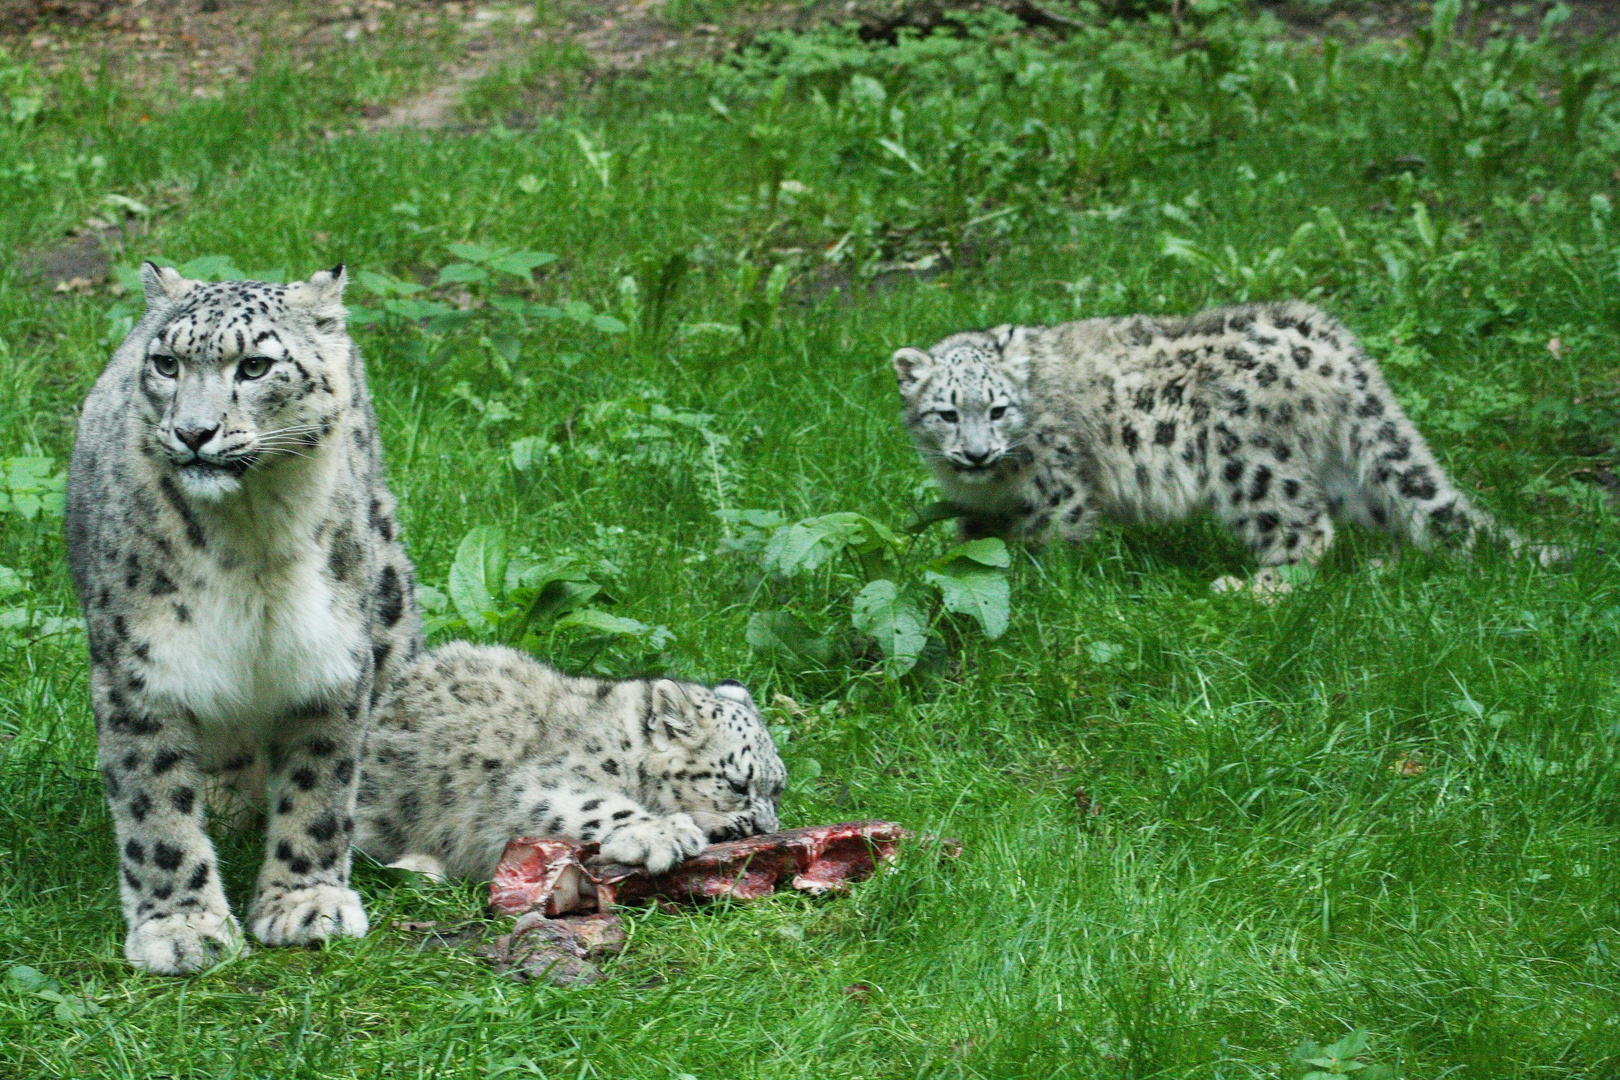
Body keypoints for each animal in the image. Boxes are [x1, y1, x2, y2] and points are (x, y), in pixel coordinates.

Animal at [69, 263, 424, 977]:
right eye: (168, 363)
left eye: (256, 365)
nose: (193, 432)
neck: (254, 538)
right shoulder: (139, 671)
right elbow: (155, 805)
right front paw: (181, 926)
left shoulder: (331, 660)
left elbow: (319, 788)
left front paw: (307, 903)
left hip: (391, 606)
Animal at [900, 296, 1542, 566]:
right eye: (947, 413)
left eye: (998, 409)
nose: (977, 455)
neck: (994, 487)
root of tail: (1335, 341)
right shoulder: (978, 507)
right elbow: (975, 548)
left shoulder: (1059, 490)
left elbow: (1050, 542)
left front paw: (1041, 584)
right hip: (1340, 467)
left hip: (1250, 461)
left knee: (1305, 529)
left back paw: (1258, 590)